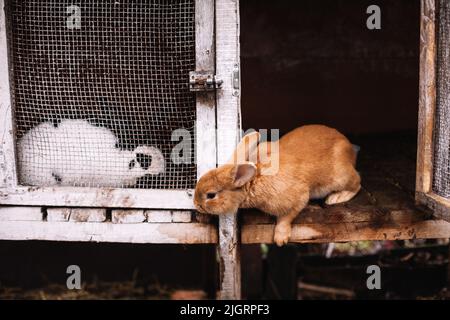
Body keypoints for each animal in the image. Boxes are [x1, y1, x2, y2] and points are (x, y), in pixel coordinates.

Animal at [194, 124, 362, 245]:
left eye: (211, 195)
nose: (196, 204)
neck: (254, 178)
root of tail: (349, 149)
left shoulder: (299, 196)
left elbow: (287, 216)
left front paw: (280, 239)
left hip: (340, 177)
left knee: (357, 183)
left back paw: (336, 197)